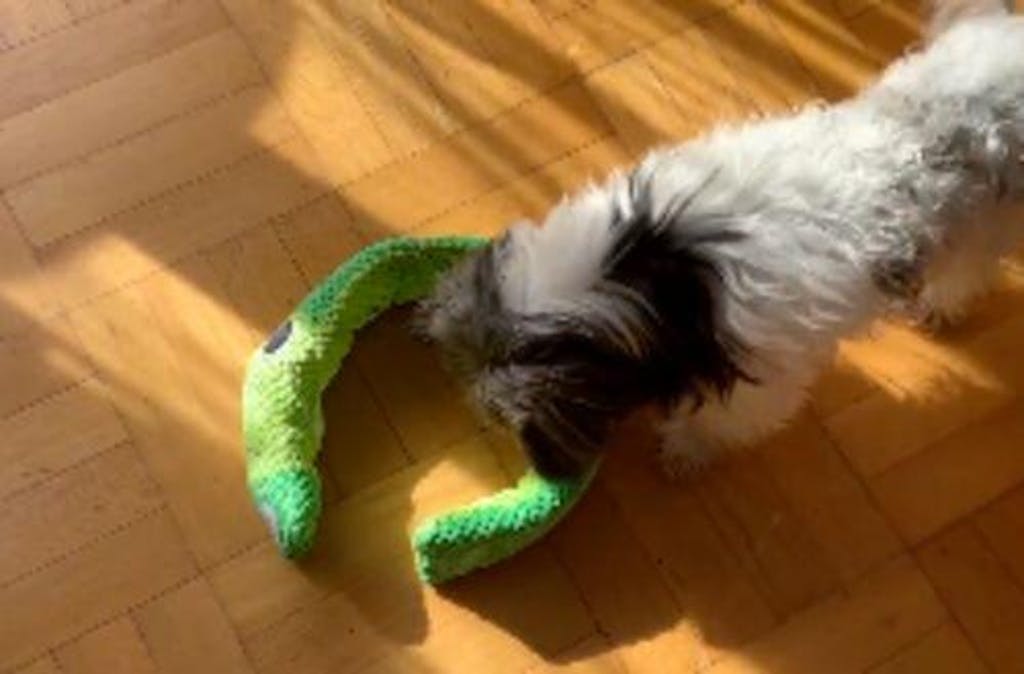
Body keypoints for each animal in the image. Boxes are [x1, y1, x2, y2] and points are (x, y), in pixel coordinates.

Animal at [415, 0, 1024, 480]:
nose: (490, 416)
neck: (663, 272)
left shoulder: (760, 377)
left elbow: (720, 422)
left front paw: (685, 450)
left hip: (986, 225)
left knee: (970, 267)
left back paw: (941, 304)